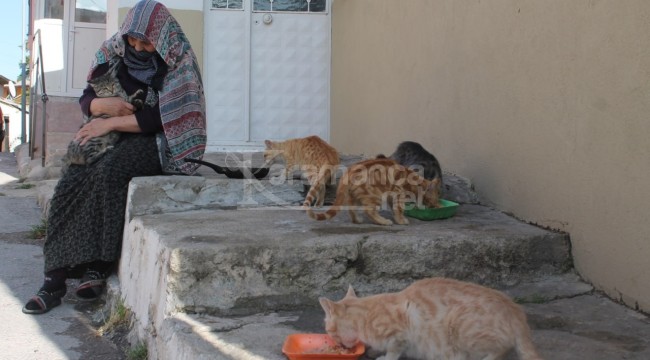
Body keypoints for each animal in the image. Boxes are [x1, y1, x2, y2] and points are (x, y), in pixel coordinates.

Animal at [318, 278, 540, 360]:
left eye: (329, 331)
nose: (337, 343)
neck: (366, 315)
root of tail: (516, 311)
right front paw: (372, 350)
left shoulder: (400, 334)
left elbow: (394, 351)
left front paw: (383, 356)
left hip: (459, 325)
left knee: (502, 348)